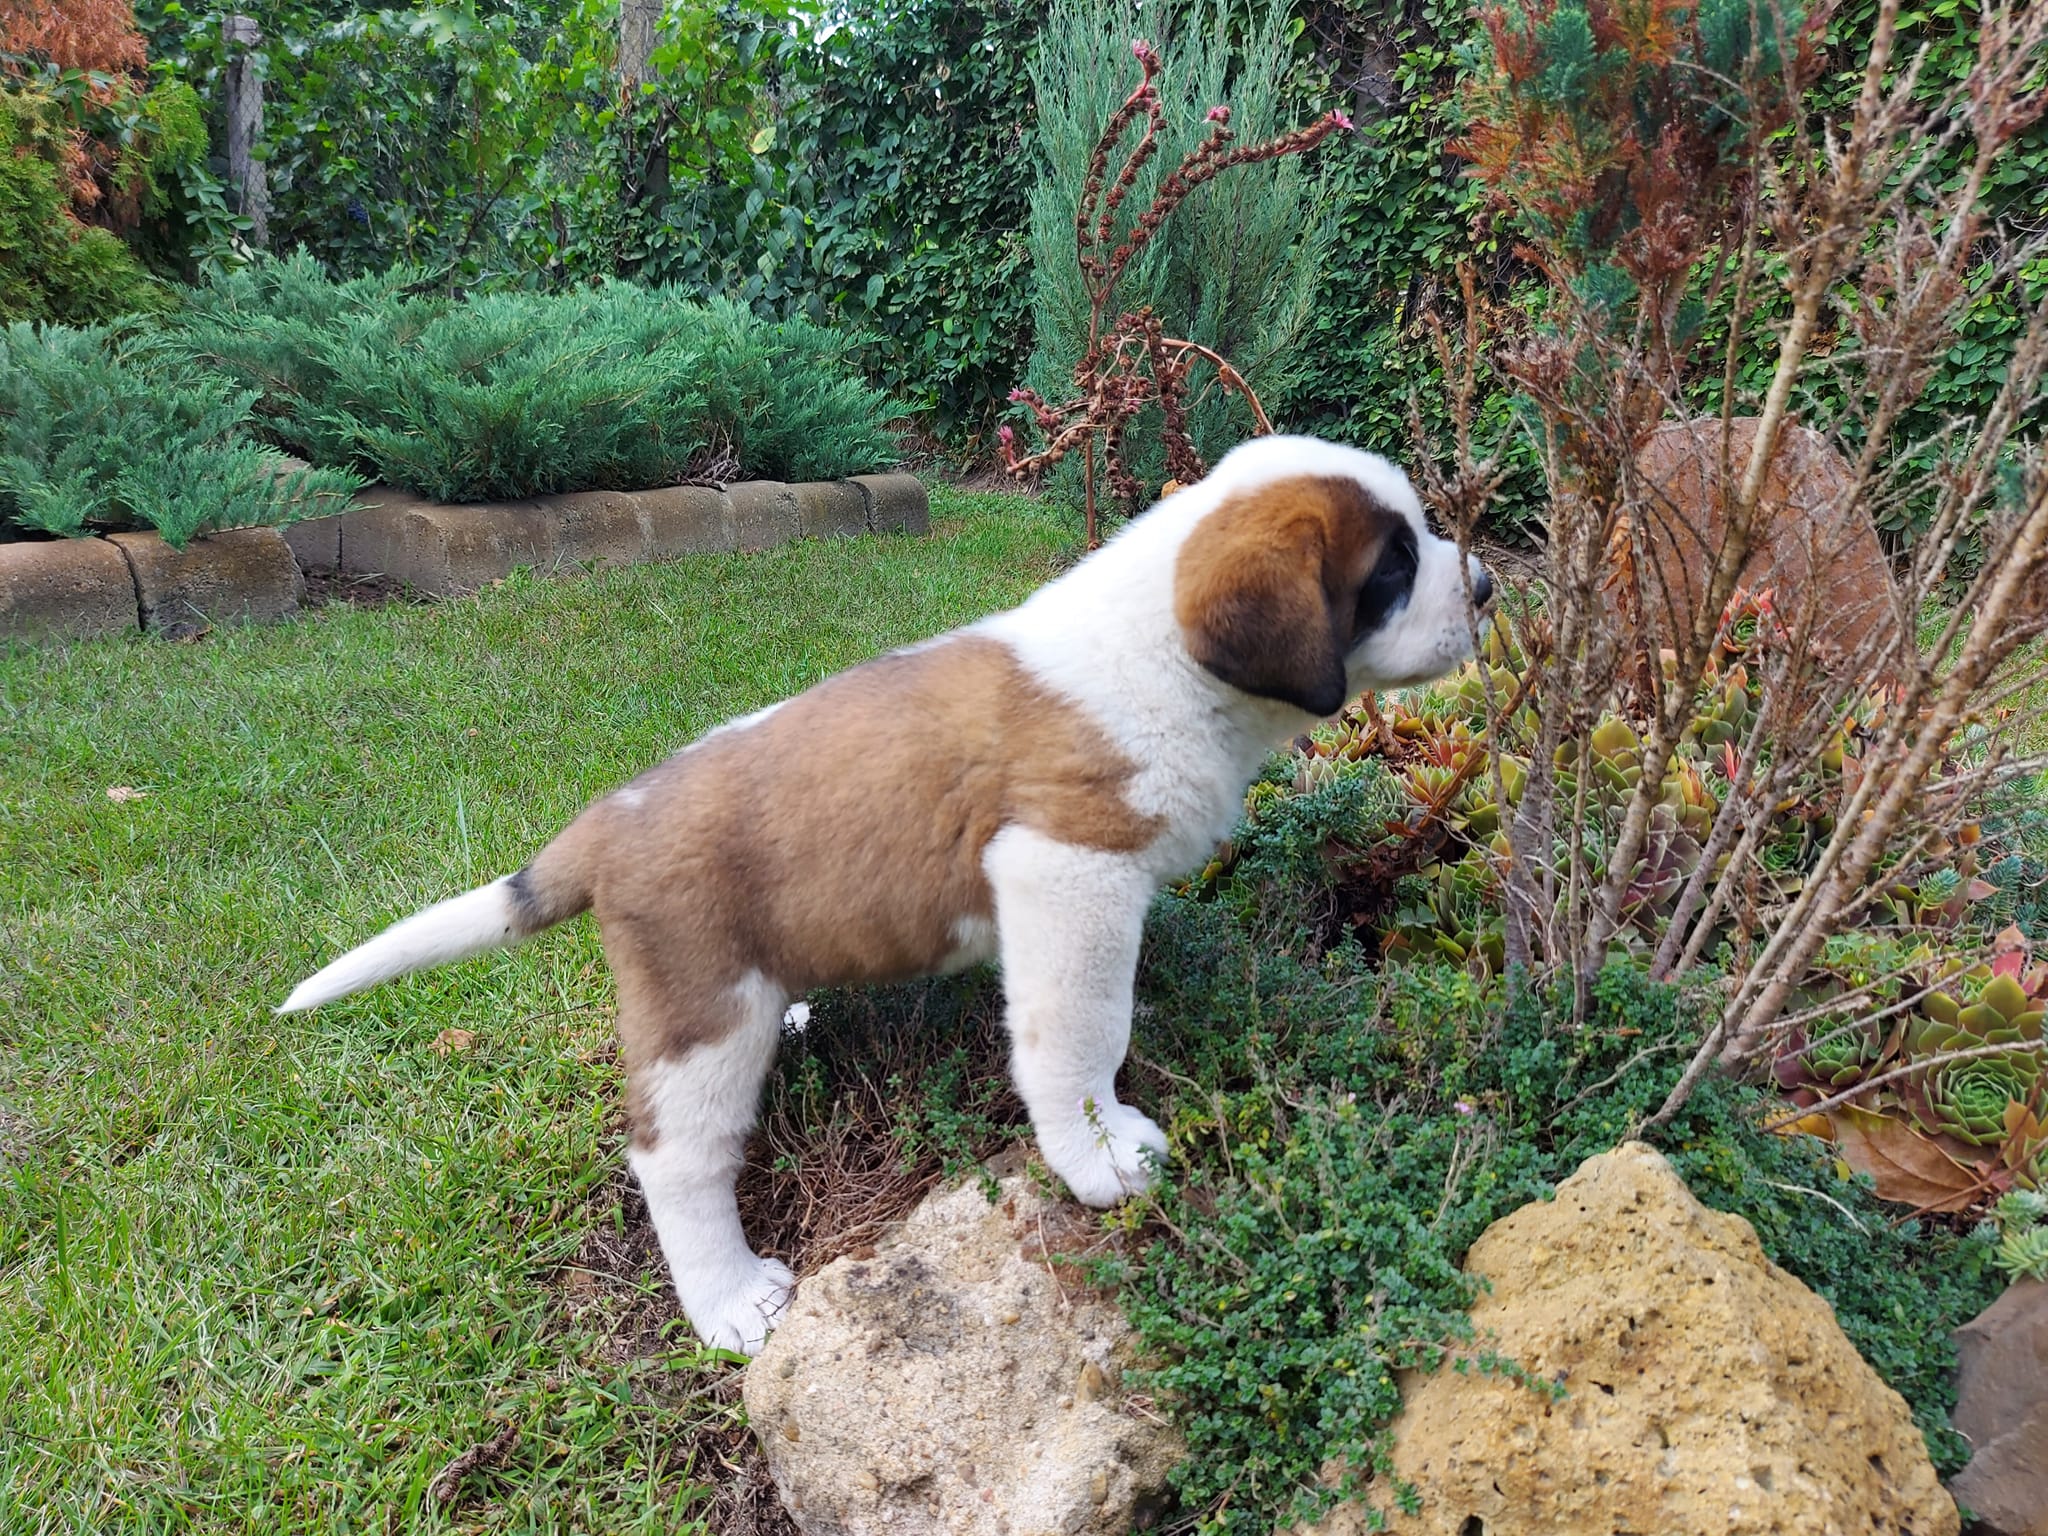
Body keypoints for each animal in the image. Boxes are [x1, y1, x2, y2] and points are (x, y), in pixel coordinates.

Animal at [280, 436, 1499, 1359]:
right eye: (1392, 567)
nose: (1486, 585)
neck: (1163, 654)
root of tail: (608, 822)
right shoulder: (1065, 873)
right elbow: (1078, 1035)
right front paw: (1099, 1150)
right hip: (700, 1012)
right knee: (676, 1159)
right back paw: (727, 1299)